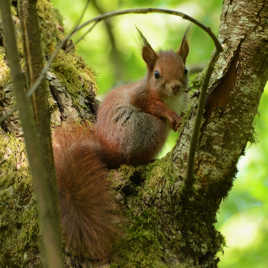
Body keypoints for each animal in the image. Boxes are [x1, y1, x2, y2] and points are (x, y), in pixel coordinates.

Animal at [52, 29, 189, 262]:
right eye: (157, 74)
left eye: (185, 70)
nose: (176, 87)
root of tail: (111, 152)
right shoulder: (141, 97)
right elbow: (154, 106)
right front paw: (172, 117)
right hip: (148, 129)